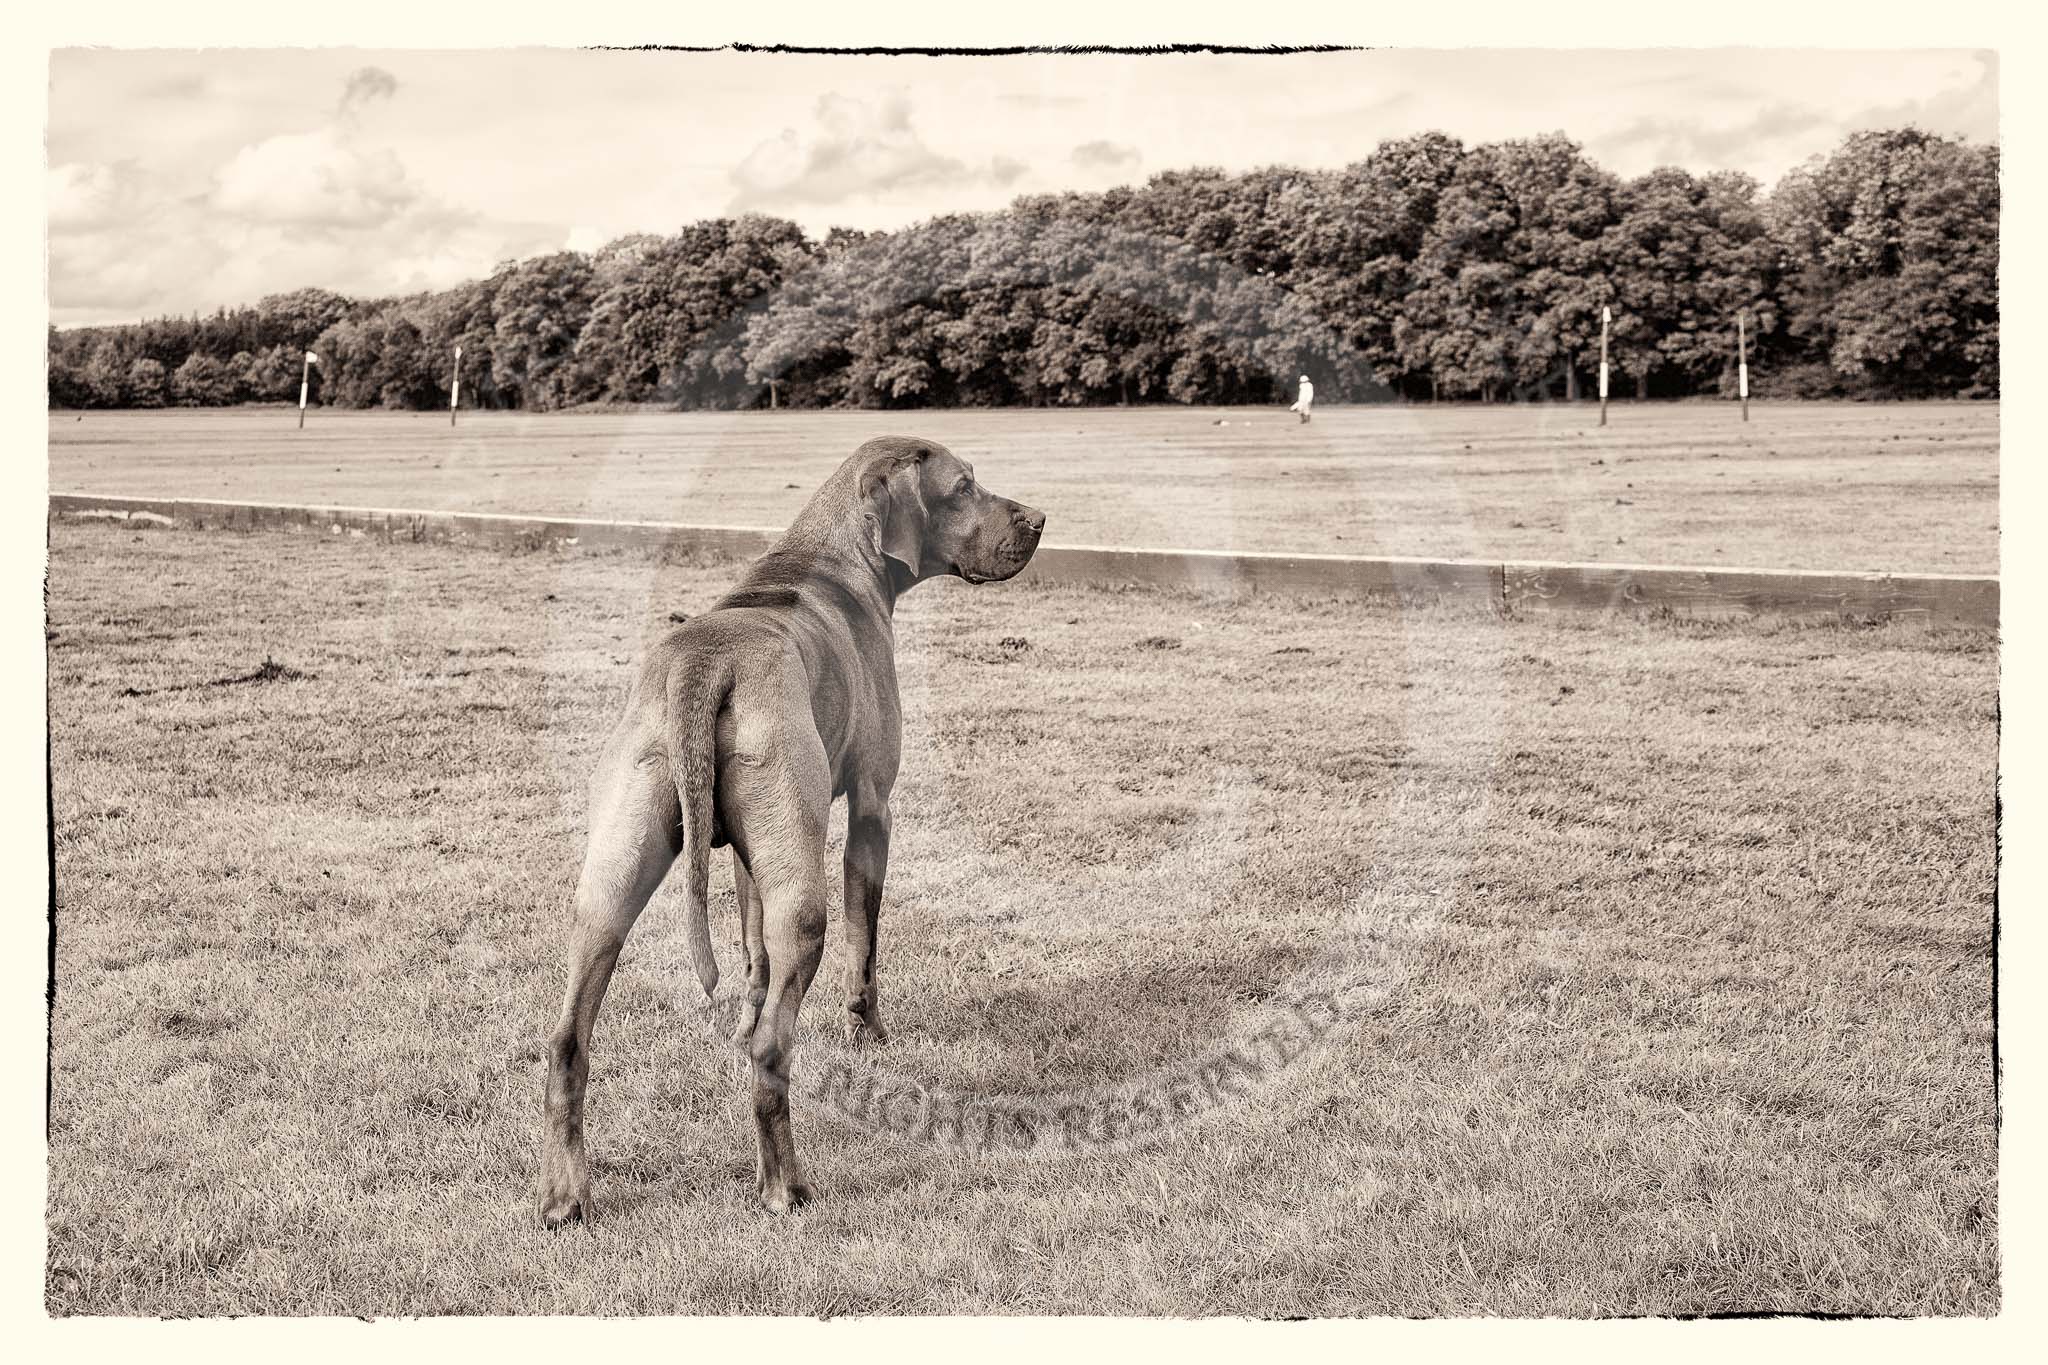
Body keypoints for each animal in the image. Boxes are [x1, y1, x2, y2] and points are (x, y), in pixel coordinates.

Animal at [536, 439, 1048, 1227]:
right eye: (964, 486)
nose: (1040, 519)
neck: (832, 554)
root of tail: (704, 664)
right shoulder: (872, 806)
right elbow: (865, 937)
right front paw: (868, 1032)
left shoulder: (755, 857)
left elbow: (752, 946)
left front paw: (746, 1010)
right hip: (800, 894)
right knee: (774, 1052)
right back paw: (785, 1185)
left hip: (613, 869)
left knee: (568, 1037)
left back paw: (567, 1196)